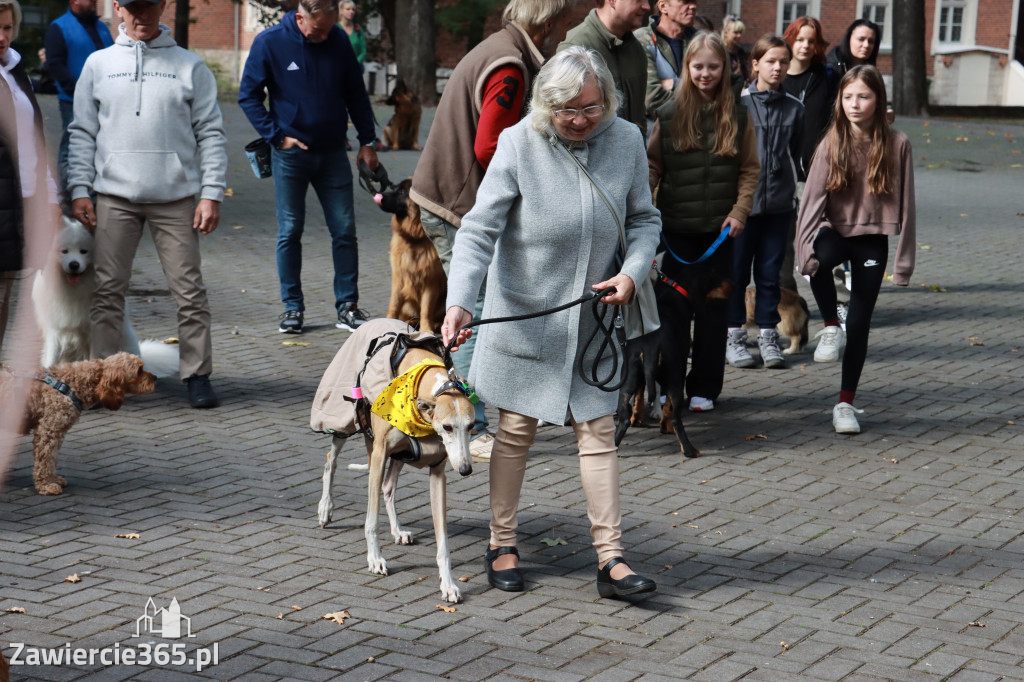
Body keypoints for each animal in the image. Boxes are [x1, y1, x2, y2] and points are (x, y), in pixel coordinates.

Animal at [0, 352, 155, 491]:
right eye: (139, 371)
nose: (155, 378)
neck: (72, 383)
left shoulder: (57, 433)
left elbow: (52, 458)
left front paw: (53, 479)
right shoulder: (48, 431)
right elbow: (45, 460)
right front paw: (46, 485)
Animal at [33, 216, 179, 376]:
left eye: (83, 251)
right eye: (64, 251)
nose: (74, 264)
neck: (75, 289)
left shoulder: (92, 332)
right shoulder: (55, 328)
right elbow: (51, 357)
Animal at [311, 319, 475, 602]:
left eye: (471, 426)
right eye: (447, 427)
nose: (465, 469)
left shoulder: (437, 471)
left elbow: (442, 540)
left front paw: (448, 584)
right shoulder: (379, 454)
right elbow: (371, 521)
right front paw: (375, 559)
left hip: (399, 452)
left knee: (388, 486)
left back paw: (398, 530)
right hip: (347, 422)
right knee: (331, 459)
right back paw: (325, 508)